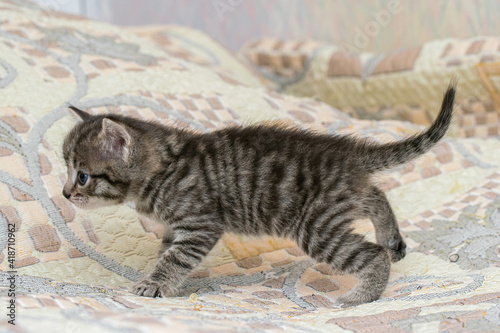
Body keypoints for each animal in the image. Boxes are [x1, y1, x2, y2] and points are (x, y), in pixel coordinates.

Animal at [62, 83, 458, 306]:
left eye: (82, 176)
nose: (65, 194)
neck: (164, 166)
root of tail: (346, 152)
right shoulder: (176, 228)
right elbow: (167, 253)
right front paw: (159, 277)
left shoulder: (199, 225)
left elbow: (176, 259)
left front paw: (156, 284)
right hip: (342, 204)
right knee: (375, 194)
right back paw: (391, 238)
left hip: (316, 227)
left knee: (373, 254)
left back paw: (360, 296)